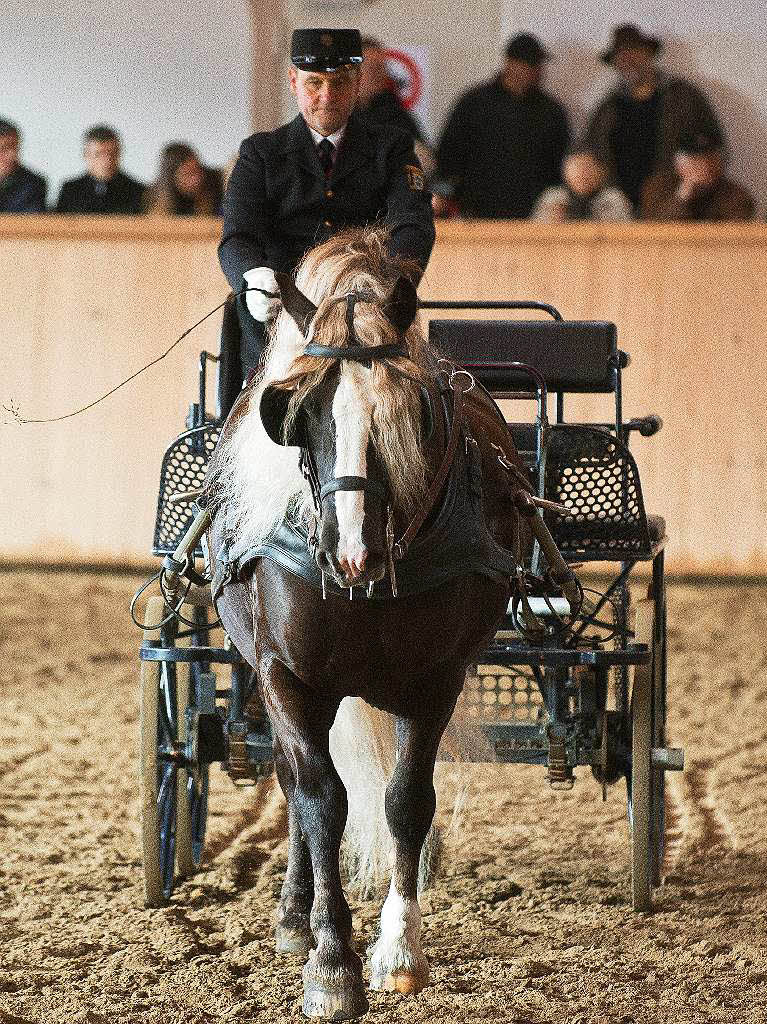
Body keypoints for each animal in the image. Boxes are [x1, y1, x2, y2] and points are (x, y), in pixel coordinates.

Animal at [206, 224, 528, 1015]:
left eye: (409, 412)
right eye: (298, 416)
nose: (353, 554)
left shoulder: (436, 679)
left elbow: (405, 802)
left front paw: (398, 953)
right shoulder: (286, 677)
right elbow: (321, 801)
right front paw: (330, 964)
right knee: (293, 783)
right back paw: (295, 917)